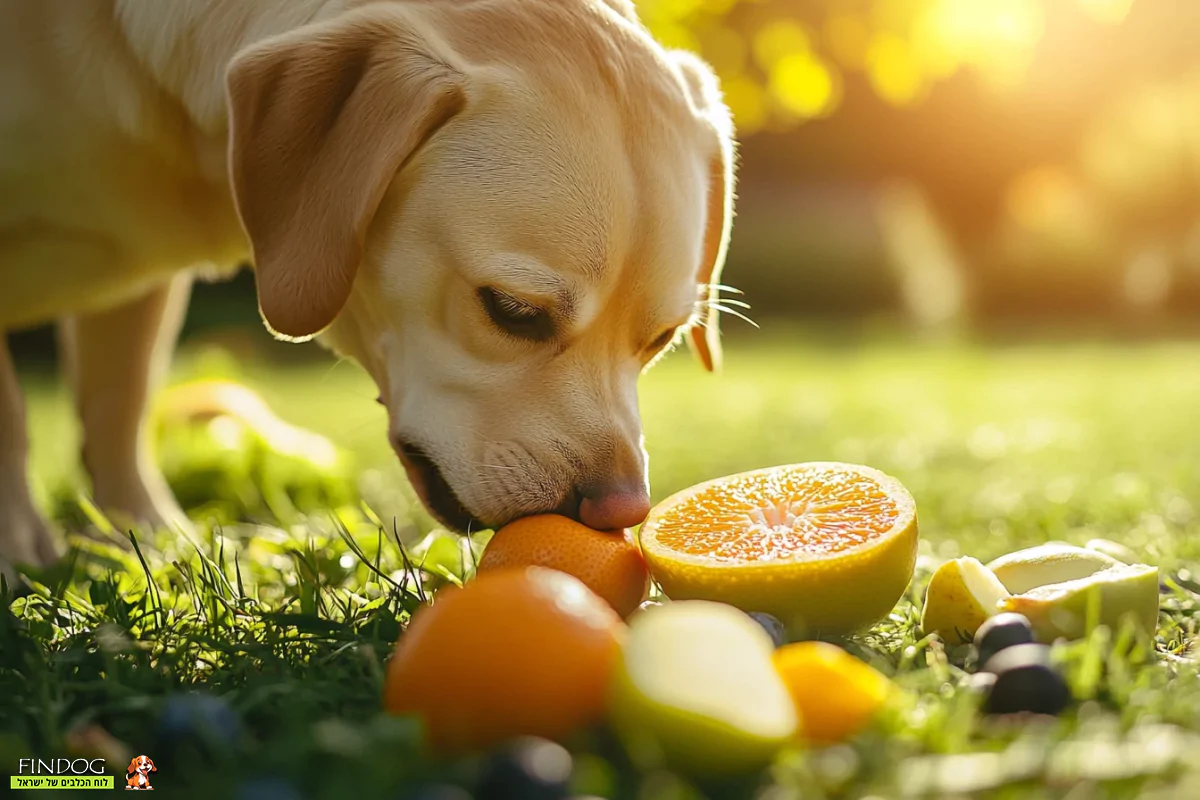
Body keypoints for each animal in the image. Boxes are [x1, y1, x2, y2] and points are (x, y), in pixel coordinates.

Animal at [0, 0, 729, 575]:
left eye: (662, 338)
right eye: (513, 311)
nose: (620, 510)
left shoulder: (142, 295)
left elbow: (120, 400)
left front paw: (142, 536)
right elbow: (18, 411)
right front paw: (20, 549)